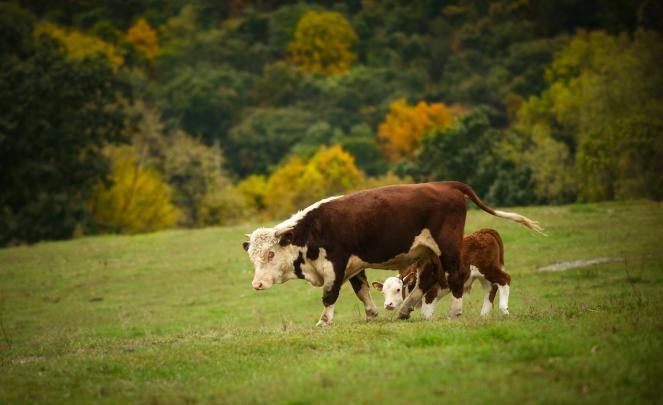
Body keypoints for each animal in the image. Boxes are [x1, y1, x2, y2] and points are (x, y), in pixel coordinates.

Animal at [372, 228, 511, 320]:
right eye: (383, 292)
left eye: (398, 289)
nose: (388, 305)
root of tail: (484, 231)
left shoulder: (431, 292)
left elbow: (425, 314)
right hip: (482, 275)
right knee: (490, 290)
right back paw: (483, 315)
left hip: (489, 269)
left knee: (505, 280)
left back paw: (504, 310)